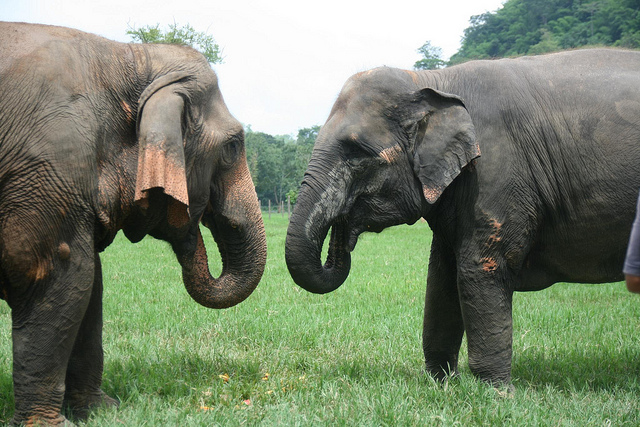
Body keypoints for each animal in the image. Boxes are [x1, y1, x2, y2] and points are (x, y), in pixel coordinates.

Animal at [0, 24, 266, 427]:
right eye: (233, 146)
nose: (190, 231)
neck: (128, 58)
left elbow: (90, 286)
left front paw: (100, 411)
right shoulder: (48, 166)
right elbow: (57, 275)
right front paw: (52, 424)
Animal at [288, 48, 640, 390]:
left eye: (357, 153)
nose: (342, 230)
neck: (433, 80)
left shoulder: (496, 171)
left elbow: (478, 267)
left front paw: (496, 393)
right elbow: (442, 275)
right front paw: (441, 384)